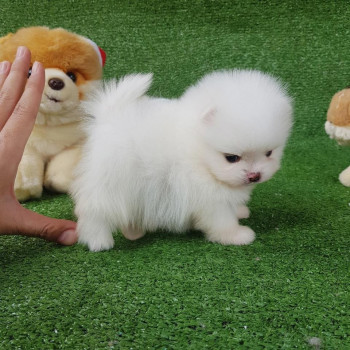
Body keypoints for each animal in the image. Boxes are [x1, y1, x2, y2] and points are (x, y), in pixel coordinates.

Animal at [72, 70, 292, 252]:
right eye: (231, 158)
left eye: (269, 152)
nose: (254, 176)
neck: (199, 149)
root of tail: (108, 117)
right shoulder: (209, 197)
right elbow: (222, 219)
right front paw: (236, 235)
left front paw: (239, 211)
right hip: (111, 181)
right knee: (94, 210)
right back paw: (98, 240)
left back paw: (133, 231)